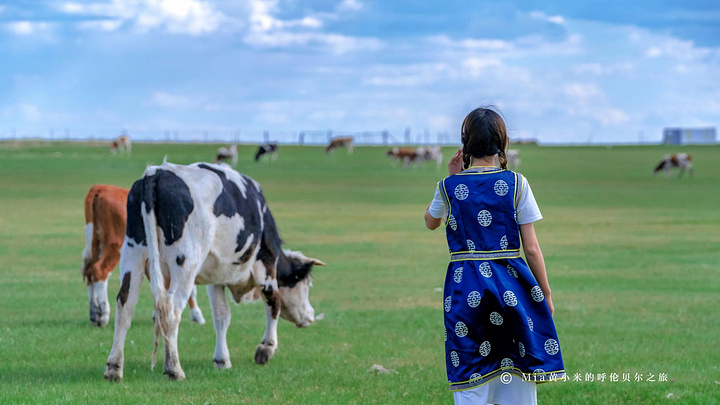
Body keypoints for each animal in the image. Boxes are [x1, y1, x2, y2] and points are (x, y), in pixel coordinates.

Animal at [82, 185, 205, 326]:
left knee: (89, 271)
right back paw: (103, 314)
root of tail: (102, 187)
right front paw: (196, 314)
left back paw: (94, 314)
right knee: (99, 270)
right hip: (115, 245)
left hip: (96, 244)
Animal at [104, 160, 324, 378]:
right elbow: (273, 303)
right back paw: (174, 368)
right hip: (186, 262)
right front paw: (266, 348)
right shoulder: (266, 266)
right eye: (306, 284)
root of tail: (156, 174)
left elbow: (222, 315)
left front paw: (222, 359)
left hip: (133, 255)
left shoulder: (216, 277)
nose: (311, 315)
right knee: (171, 309)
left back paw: (114, 367)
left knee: (126, 305)